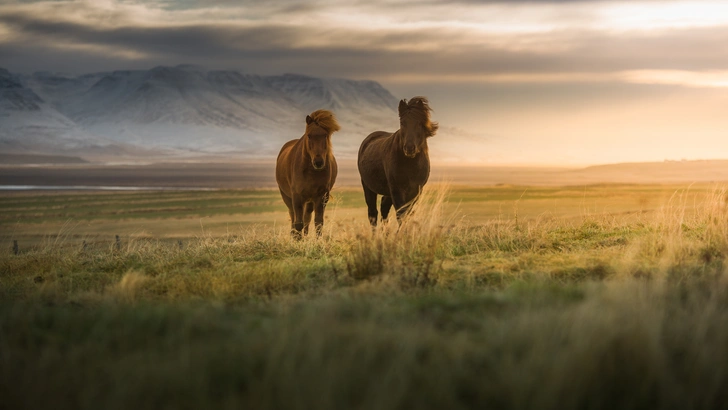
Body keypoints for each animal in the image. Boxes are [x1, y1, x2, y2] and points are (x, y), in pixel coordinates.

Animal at [276, 109, 342, 237]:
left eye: (325, 135)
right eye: (309, 135)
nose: (318, 162)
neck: (311, 172)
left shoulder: (321, 197)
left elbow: (318, 223)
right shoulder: (296, 196)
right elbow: (298, 224)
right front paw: (297, 239)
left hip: (310, 200)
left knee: (307, 218)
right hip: (287, 197)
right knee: (293, 217)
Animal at [356, 96, 438, 227]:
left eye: (420, 123)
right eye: (402, 123)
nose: (409, 148)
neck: (411, 165)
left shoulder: (416, 192)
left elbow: (407, 214)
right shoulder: (397, 190)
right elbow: (401, 215)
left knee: (384, 208)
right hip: (368, 187)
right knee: (373, 213)